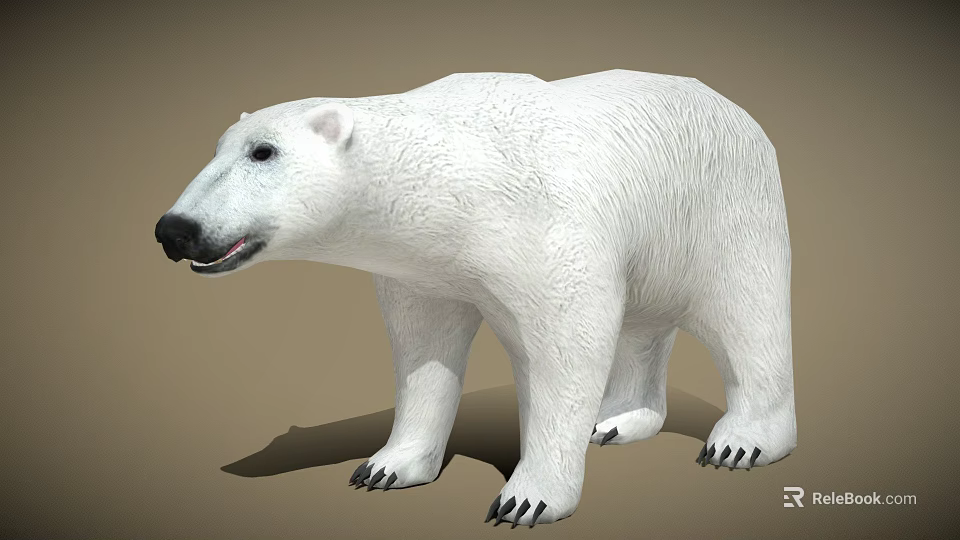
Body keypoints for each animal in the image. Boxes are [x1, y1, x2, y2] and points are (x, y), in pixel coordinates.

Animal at [154, 69, 796, 527]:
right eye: (219, 147)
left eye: (263, 152)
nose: (173, 229)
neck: (454, 182)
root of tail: (734, 108)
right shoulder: (422, 267)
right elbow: (423, 350)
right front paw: (386, 465)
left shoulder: (546, 231)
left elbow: (565, 352)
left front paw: (527, 499)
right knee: (643, 323)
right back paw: (617, 421)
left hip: (722, 208)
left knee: (745, 313)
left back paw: (741, 442)